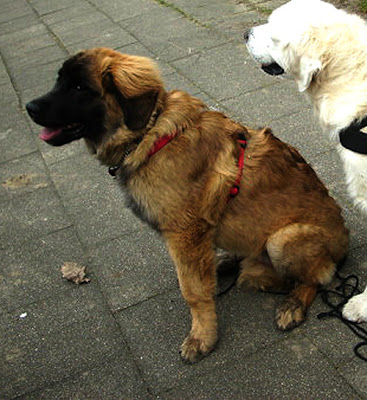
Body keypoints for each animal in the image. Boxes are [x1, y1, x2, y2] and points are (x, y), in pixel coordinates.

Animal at [27, 47, 350, 362]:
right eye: (59, 81)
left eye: (80, 88)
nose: (29, 107)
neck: (149, 135)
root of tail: (345, 240)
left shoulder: (184, 234)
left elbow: (193, 291)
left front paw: (202, 336)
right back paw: (232, 262)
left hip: (283, 239)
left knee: (313, 276)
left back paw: (290, 301)